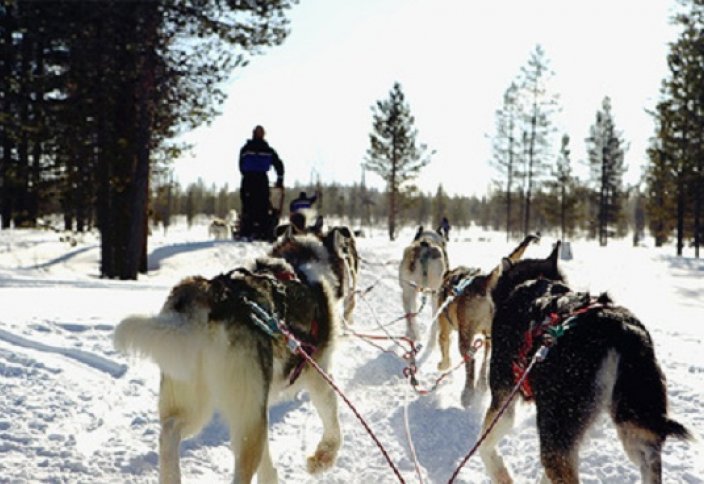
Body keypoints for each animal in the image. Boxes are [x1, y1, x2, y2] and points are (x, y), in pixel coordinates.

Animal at [114, 255, 342, 482]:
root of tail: (210, 295)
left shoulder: (260, 404)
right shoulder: (318, 374)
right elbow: (332, 422)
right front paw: (323, 458)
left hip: (196, 403)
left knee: (169, 432)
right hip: (245, 415)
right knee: (241, 470)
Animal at [432, 233, 536, 404]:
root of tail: (484, 282)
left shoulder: (444, 328)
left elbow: (444, 347)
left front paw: (442, 365)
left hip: (465, 335)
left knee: (471, 361)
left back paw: (468, 394)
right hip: (491, 335)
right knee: (485, 359)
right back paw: (481, 385)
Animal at [478, 242, 688, 484]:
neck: (531, 283)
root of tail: (618, 328)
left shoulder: (503, 398)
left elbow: (484, 446)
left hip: (556, 434)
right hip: (634, 428)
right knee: (649, 458)